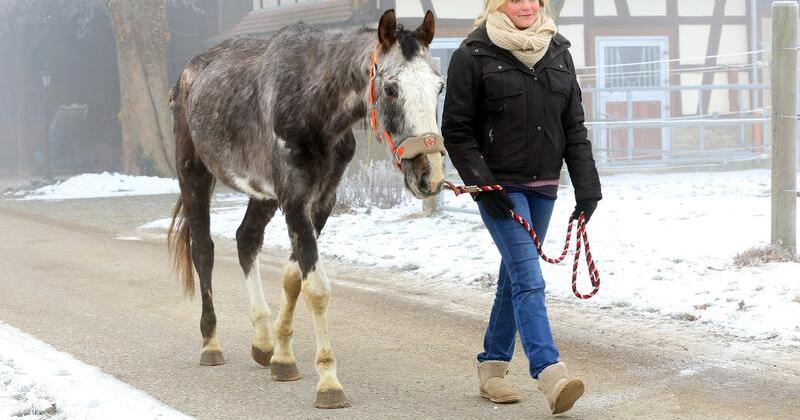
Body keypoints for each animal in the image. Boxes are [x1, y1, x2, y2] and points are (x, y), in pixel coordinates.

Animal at [166, 9, 446, 408]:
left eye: (439, 86)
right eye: (392, 89)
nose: (429, 175)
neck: (310, 101)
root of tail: (188, 74)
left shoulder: (321, 201)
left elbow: (293, 276)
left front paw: (282, 357)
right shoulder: (295, 199)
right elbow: (316, 288)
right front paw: (328, 382)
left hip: (263, 194)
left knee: (246, 240)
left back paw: (262, 341)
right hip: (193, 172)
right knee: (203, 250)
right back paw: (211, 344)